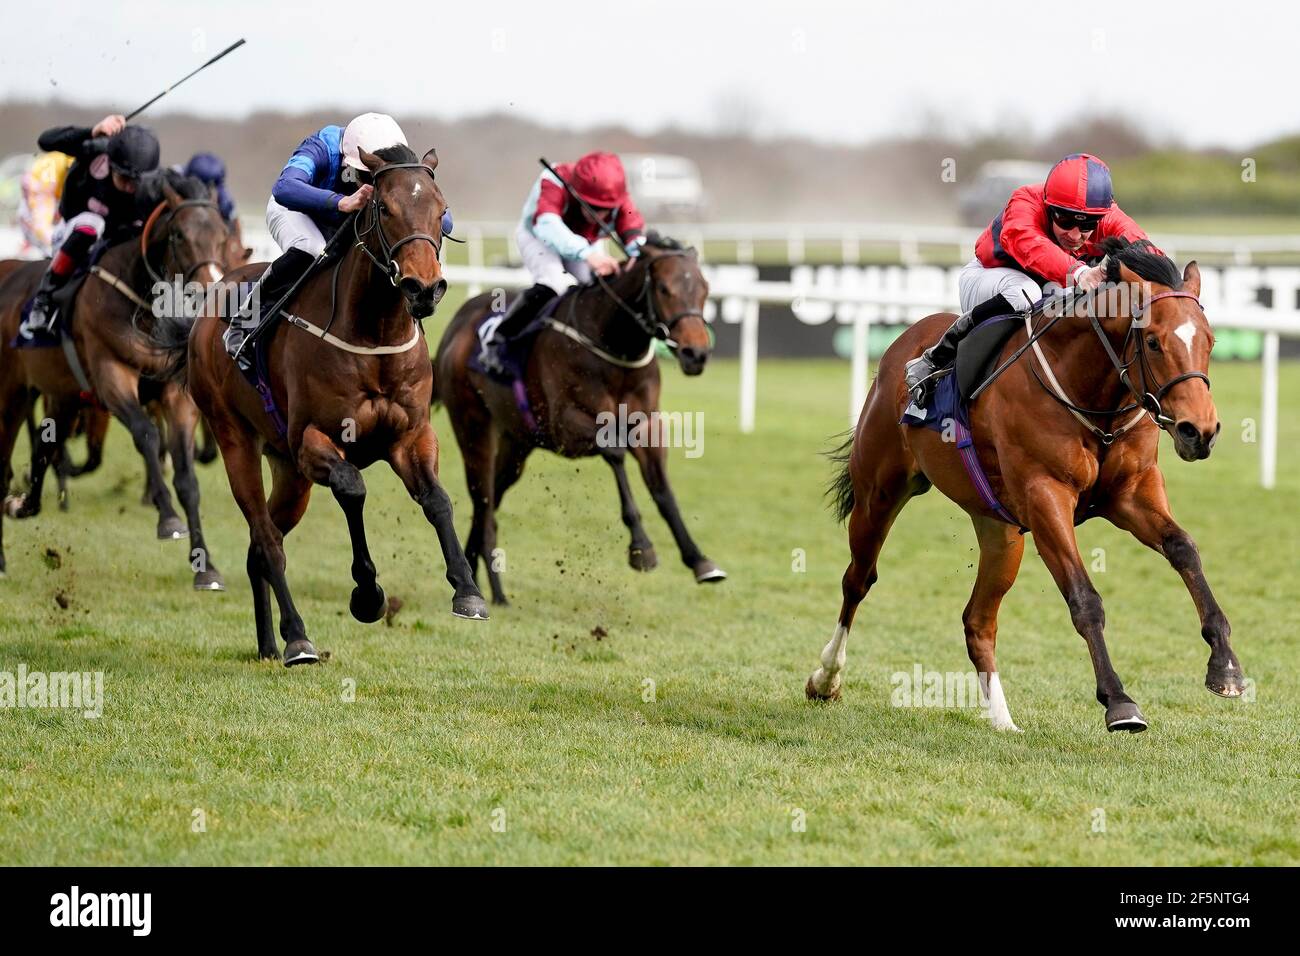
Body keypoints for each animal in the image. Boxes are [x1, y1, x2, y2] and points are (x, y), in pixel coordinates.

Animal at [806, 239, 1242, 733]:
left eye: (1209, 341)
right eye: (1153, 341)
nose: (1199, 431)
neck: (1092, 393)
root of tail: (904, 341)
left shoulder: (1131, 493)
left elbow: (1184, 548)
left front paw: (1225, 666)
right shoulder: (1045, 496)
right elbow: (1085, 599)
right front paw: (1119, 702)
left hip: (1000, 530)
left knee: (977, 621)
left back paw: (1002, 720)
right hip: (879, 493)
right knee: (858, 579)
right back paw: (826, 678)